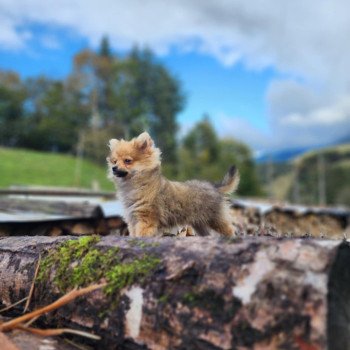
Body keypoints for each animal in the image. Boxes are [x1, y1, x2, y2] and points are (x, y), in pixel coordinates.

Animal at [106, 132, 238, 238]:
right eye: (114, 161)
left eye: (127, 161)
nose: (114, 168)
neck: (135, 185)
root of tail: (214, 187)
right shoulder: (133, 220)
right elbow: (133, 234)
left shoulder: (145, 220)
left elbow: (141, 235)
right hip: (199, 224)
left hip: (216, 220)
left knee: (230, 230)